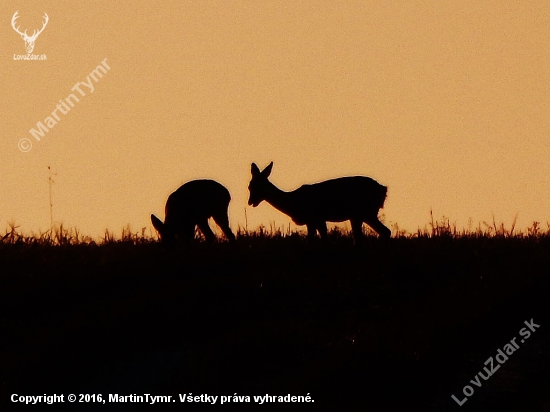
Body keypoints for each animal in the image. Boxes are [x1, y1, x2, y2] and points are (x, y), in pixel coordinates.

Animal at [250, 162, 392, 245]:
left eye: (256, 187)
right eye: (250, 186)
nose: (250, 201)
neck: (293, 202)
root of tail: (383, 189)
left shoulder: (316, 218)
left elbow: (320, 240)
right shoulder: (314, 221)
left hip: (363, 212)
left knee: (376, 234)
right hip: (363, 214)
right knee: (382, 233)